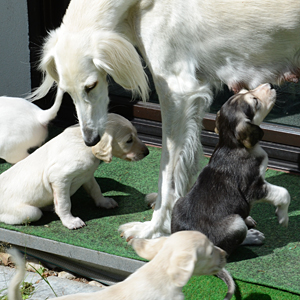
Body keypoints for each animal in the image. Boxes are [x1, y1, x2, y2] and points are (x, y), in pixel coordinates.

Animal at [0, 113, 149, 229]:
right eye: (129, 140)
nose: (147, 152)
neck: (84, 145)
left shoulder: (87, 175)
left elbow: (96, 189)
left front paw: (104, 202)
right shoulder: (60, 179)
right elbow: (65, 203)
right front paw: (70, 221)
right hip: (30, 212)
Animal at [171, 84, 290, 255]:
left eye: (244, 91)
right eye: (255, 102)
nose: (268, 85)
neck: (232, 143)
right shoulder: (253, 187)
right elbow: (283, 192)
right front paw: (283, 217)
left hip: (177, 204)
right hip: (235, 225)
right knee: (230, 246)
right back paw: (252, 236)